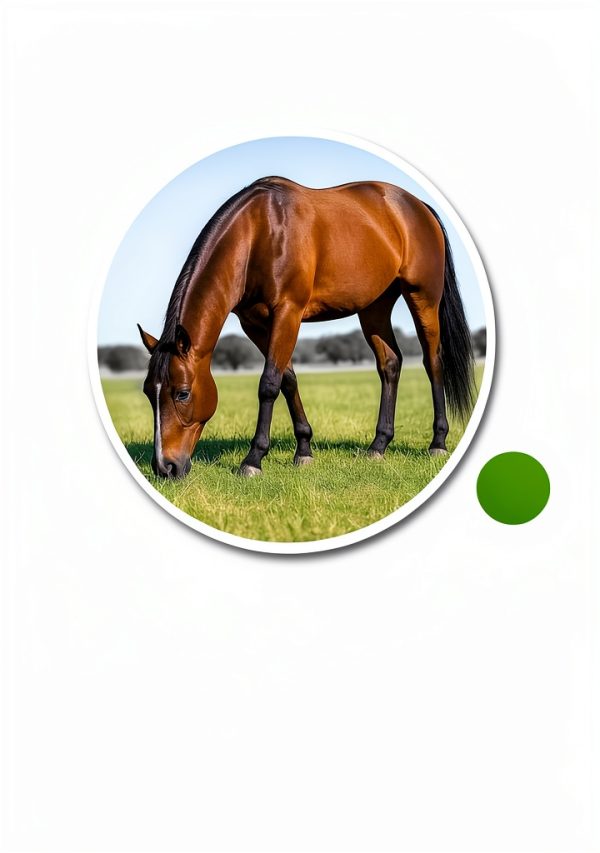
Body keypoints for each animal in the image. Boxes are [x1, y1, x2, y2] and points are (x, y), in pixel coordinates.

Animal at [137, 177, 475, 478]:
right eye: (148, 391)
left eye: (182, 394)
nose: (165, 467)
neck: (259, 233)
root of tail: (419, 206)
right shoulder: (254, 323)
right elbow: (287, 379)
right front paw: (304, 450)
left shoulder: (288, 312)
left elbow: (269, 384)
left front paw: (253, 459)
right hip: (374, 308)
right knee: (390, 364)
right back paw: (378, 445)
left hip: (423, 298)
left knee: (433, 362)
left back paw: (438, 442)